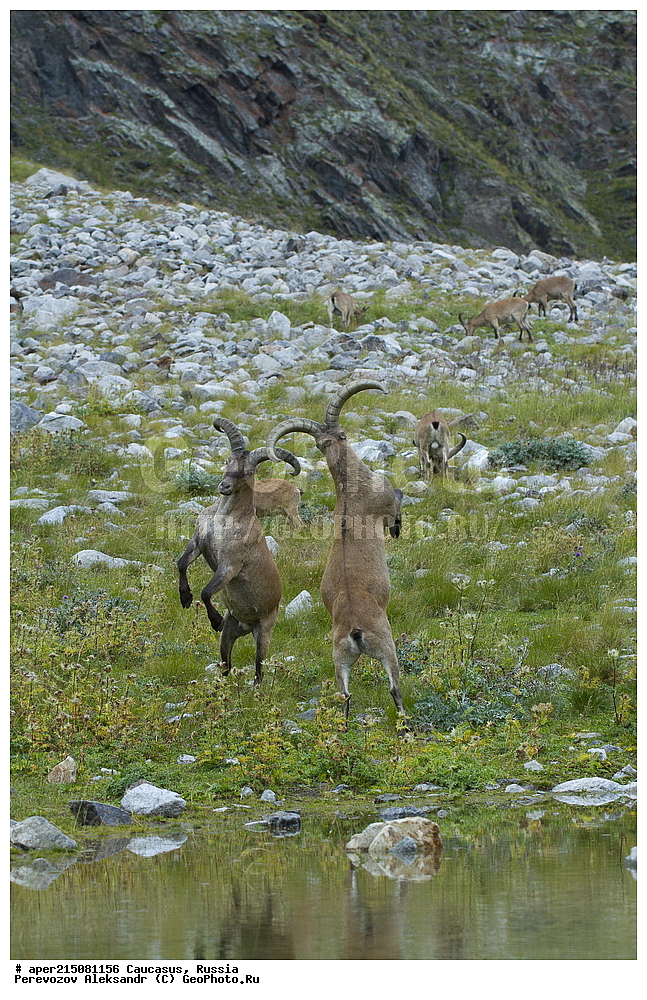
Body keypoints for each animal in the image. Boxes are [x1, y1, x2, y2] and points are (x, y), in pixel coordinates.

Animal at [177, 417, 300, 687]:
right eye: (227, 461)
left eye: (249, 472)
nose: (224, 486)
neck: (223, 516)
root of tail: (247, 626)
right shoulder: (198, 541)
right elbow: (181, 563)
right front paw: (185, 598)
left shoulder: (230, 565)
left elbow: (207, 591)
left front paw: (214, 620)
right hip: (230, 634)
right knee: (227, 663)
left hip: (264, 630)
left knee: (259, 667)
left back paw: (255, 687)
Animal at [267, 379, 406, 721]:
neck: (348, 483)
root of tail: (355, 631)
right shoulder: (386, 502)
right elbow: (396, 500)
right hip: (386, 646)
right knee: (394, 688)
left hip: (338, 656)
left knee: (344, 694)